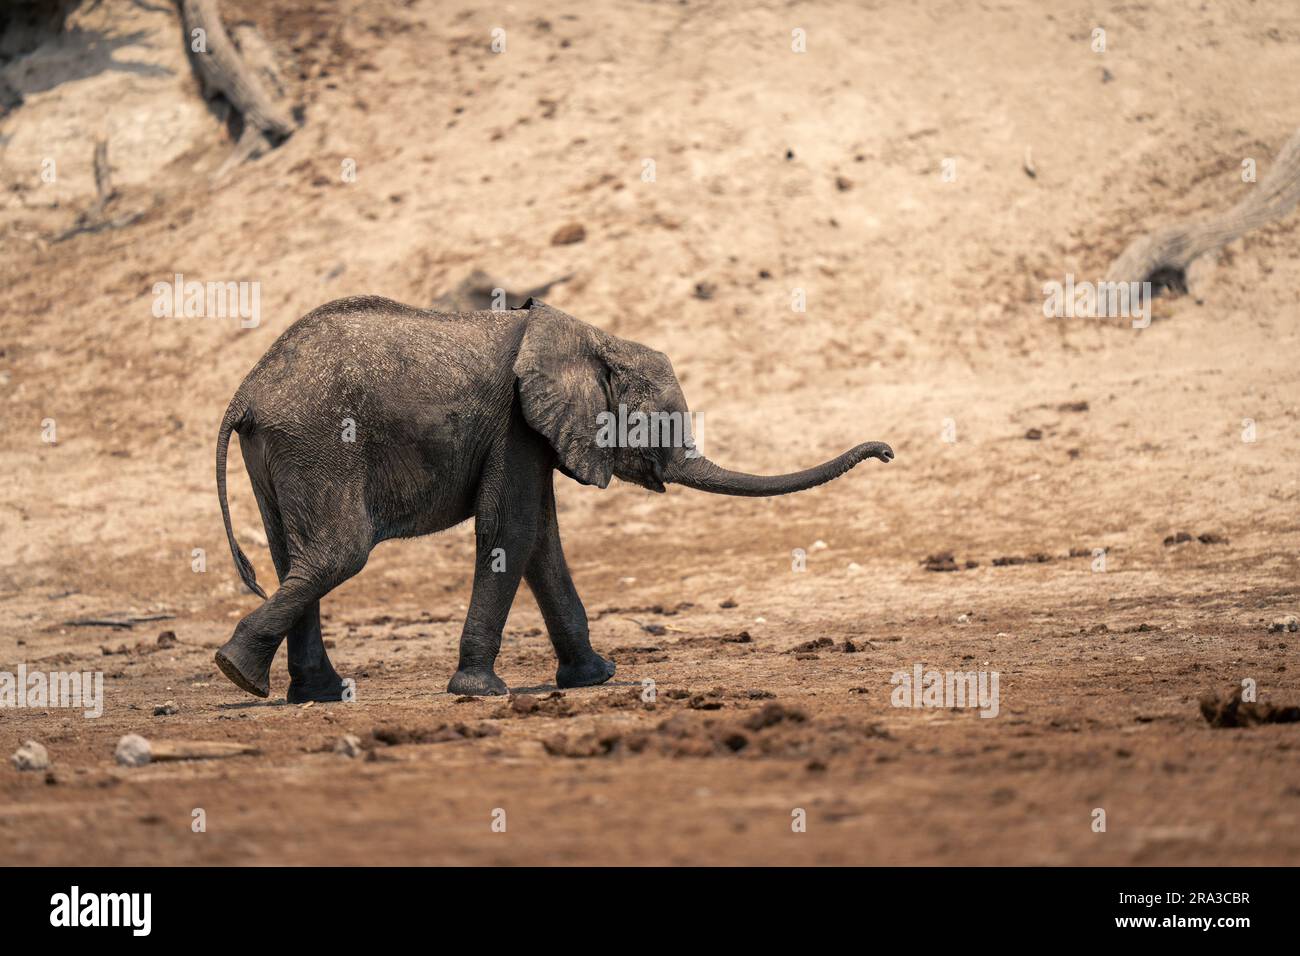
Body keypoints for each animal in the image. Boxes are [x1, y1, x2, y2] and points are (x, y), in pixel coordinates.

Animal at [213, 295, 894, 700]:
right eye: (661, 420)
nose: (885, 453)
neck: (592, 336)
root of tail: (246, 392)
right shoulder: (515, 424)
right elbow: (511, 532)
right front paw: (481, 692)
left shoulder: (532, 434)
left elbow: (539, 539)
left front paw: (595, 679)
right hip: (320, 440)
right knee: (338, 554)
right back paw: (240, 674)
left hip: (286, 450)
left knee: (293, 556)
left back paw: (305, 691)